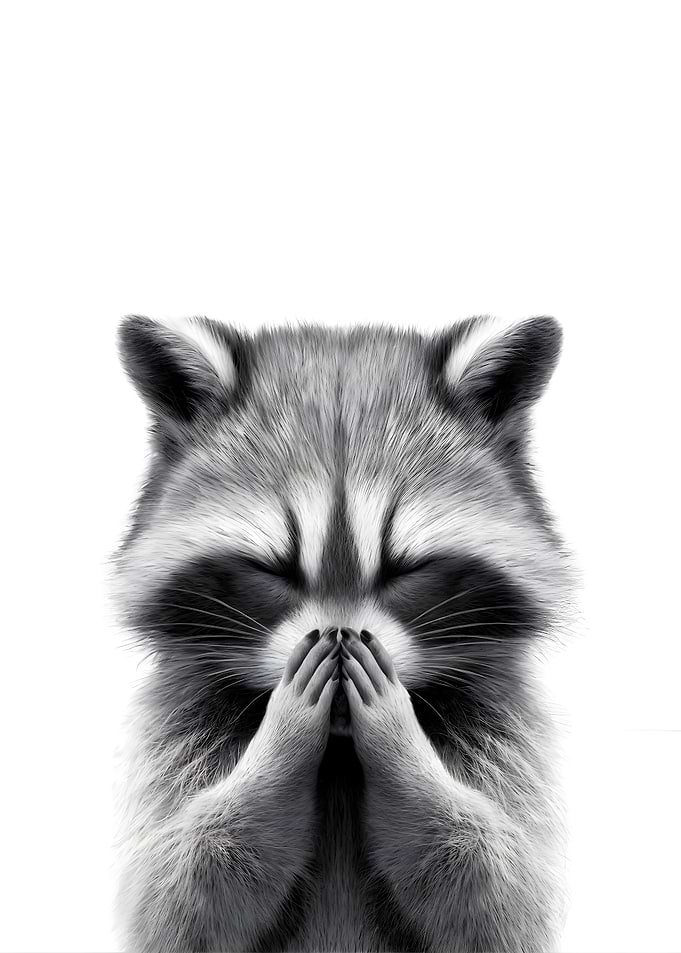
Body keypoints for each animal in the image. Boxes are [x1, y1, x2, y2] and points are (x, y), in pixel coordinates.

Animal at [111, 314, 572, 953]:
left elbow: (503, 898)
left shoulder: (507, 736)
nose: (338, 636)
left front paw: (401, 746)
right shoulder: (174, 734)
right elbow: (176, 898)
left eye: (406, 569)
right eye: (273, 569)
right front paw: (280, 743)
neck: (339, 752)